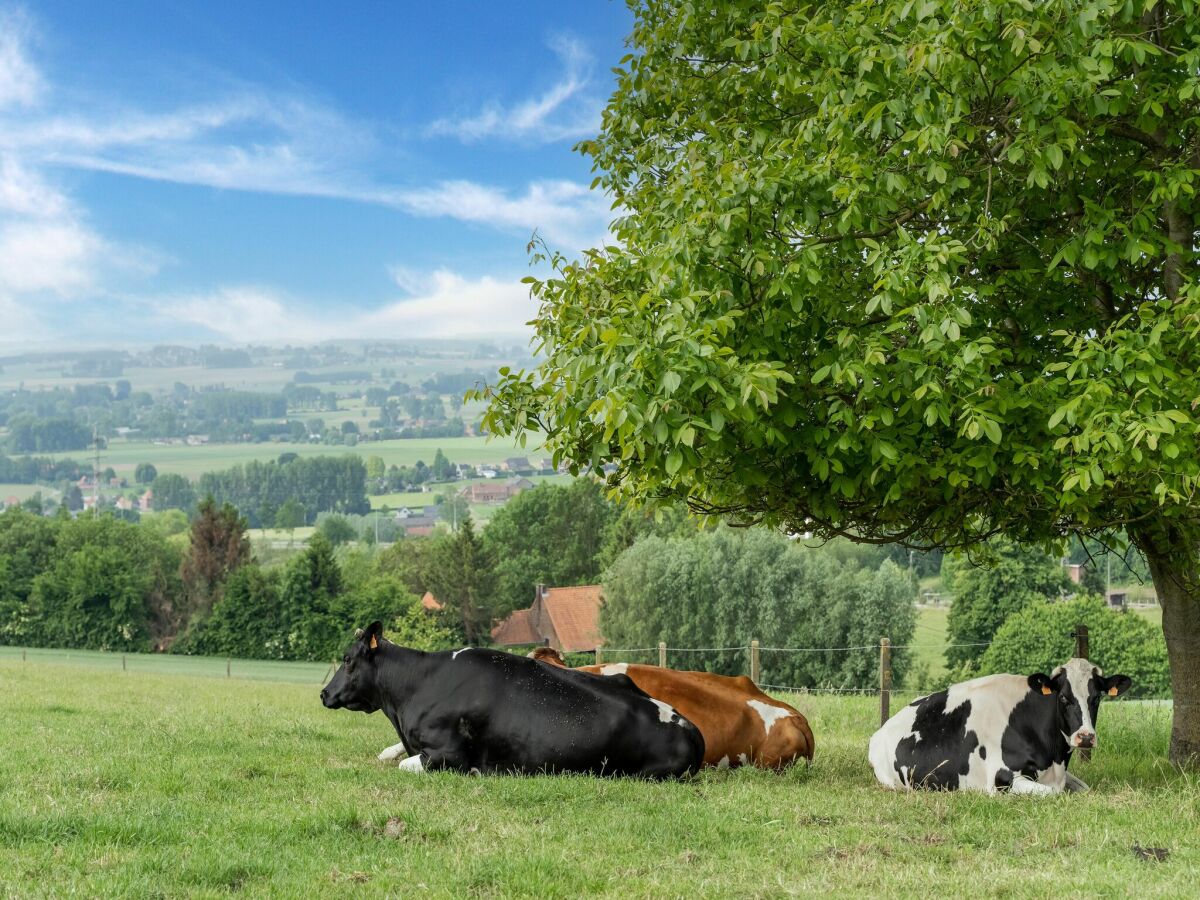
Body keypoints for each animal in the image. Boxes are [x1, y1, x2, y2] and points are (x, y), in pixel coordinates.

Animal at [868, 657, 1128, 796]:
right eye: (1063, 697)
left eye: (1097, 697)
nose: (1086, 737)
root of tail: (881, 730)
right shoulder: (1002, 778)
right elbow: (1054, 793)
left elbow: (1083, 788)